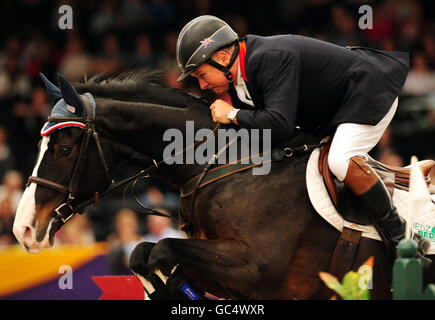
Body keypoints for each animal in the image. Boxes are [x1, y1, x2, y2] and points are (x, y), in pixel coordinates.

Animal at [12, 70, 435, 300]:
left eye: (64, 148)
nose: (23, 230)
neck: (228, 165)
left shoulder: (256, 269)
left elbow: (161, 249)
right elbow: (142, 255)